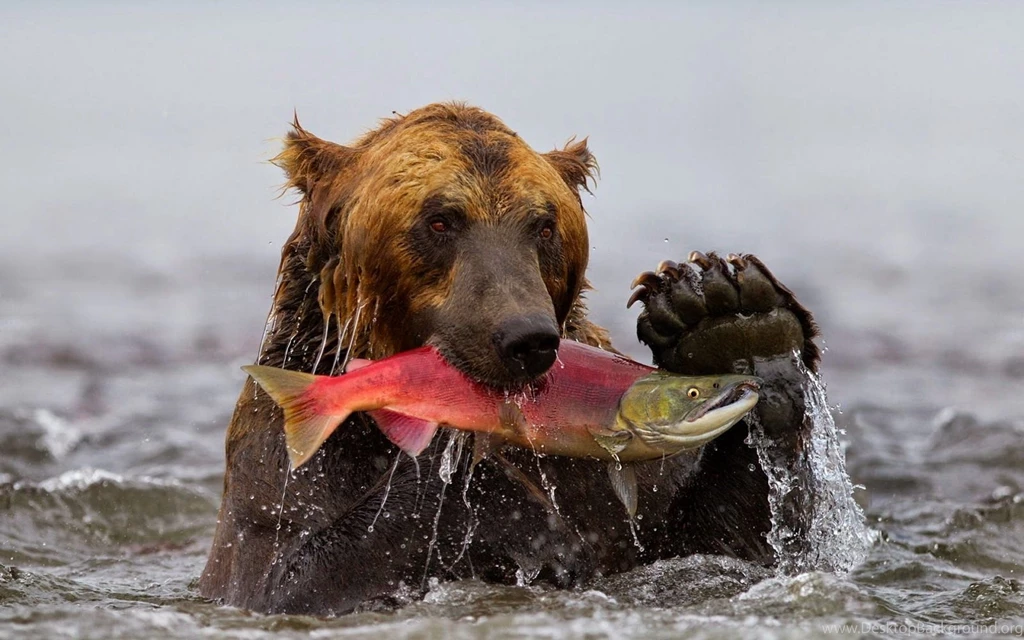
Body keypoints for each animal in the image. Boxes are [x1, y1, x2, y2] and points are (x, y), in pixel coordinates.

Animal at [198, 102, 820, 615]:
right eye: (440, 219)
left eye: (543, 225)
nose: (526, 337)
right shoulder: (287, 475)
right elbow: (288, 577)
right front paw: (496, 492)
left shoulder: (622, 491)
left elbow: (727, 548)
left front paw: (728, 319)